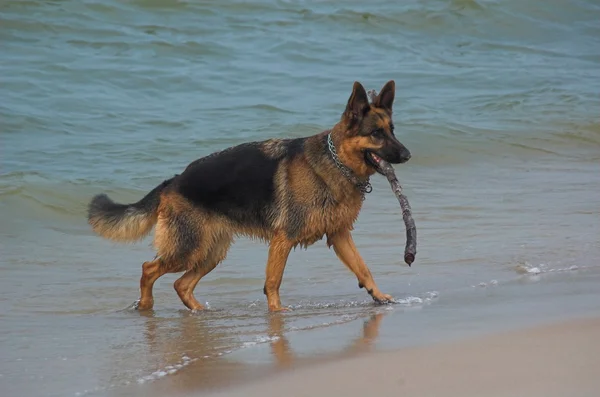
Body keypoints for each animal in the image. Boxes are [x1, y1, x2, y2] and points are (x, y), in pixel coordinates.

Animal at [88, 79, 412, 310]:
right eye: (376, 134)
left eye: (393, 130)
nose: (408, 155)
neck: (335, 162)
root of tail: (174, 180)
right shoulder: (283, 239)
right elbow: (273, 281)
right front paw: (278, 314)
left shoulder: (339, 235)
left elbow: (363, 268)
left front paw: (379, 295)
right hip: (188, 249)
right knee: (149, 268)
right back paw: (146, 305)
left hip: (210, 253)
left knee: (181, 284)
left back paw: (200, 313)